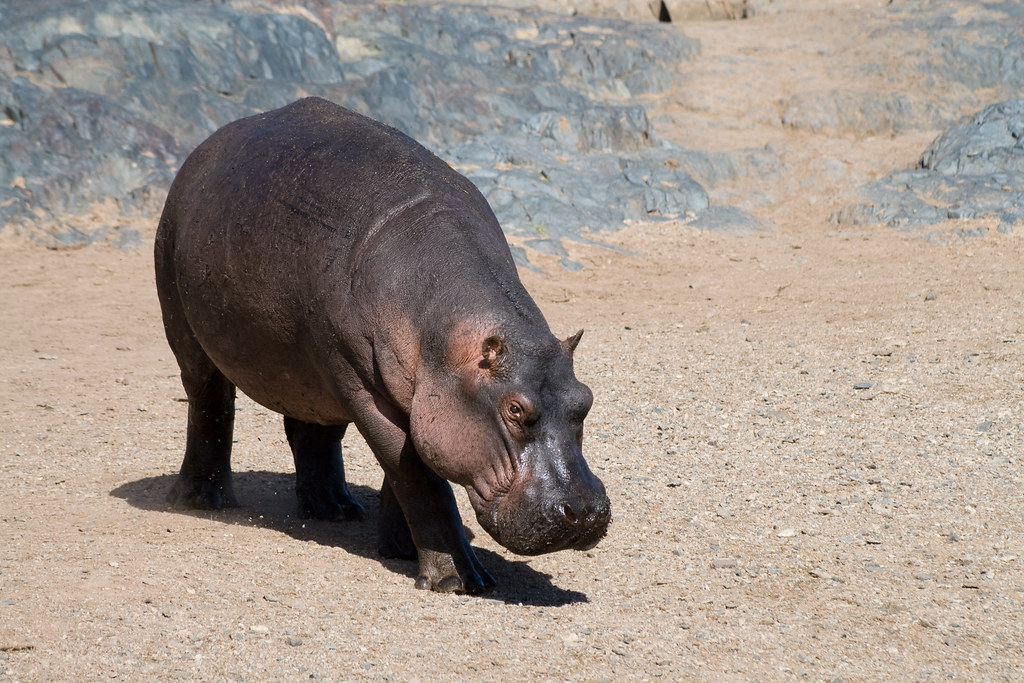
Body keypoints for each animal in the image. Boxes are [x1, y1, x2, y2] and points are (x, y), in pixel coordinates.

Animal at [154, 97, 610, 593]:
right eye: (514, 409)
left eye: (585, 400)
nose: (586, 513)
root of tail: (208, 145)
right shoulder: (366, 390)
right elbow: (418, 478)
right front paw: (458, 579)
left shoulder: (417, 398)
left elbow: (407, 471)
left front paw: (402, 549)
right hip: (188, 324)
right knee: (209, 403)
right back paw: (202, 500)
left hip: (313, 373)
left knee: (314, 432)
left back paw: (335, 509)